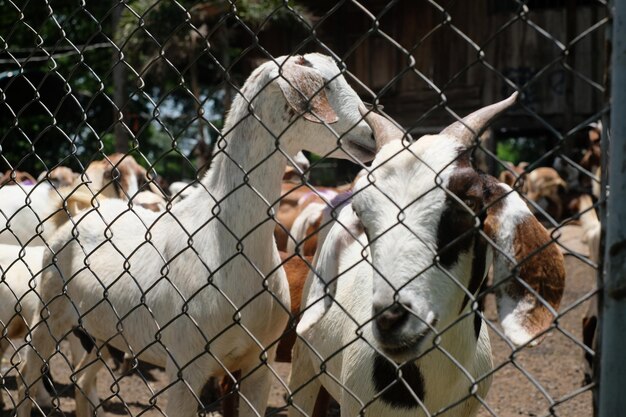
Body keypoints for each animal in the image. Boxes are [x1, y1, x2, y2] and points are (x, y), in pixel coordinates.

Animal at [15, 52, 376, 416]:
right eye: (323, 87)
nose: (372, 134)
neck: (226, 240)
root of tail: (79, 214)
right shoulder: (185, 368)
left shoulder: (260, 363)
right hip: (49, 311)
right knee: (28, 374)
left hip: (101, 330)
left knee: (81, 379)